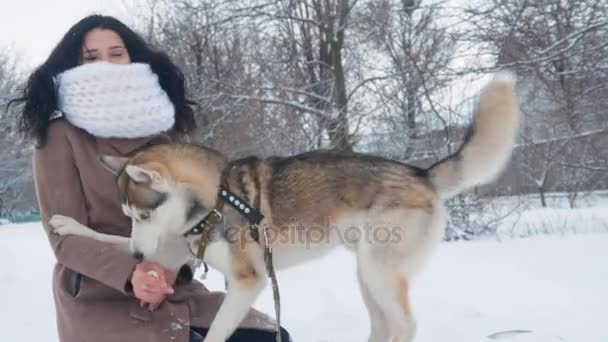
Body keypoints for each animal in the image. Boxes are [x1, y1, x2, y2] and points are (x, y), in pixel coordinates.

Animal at [51, 75, 516, 342]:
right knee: (385, 324)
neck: (215, 200)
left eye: (144, 214)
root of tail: (421, 173)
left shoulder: (247, 283)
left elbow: (217, 332)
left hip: (380, 270)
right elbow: (102, 236)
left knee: (404, 325)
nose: (137, 257)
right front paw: (68, 223)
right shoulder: (170, 250)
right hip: (368, 273)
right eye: (130, 217)